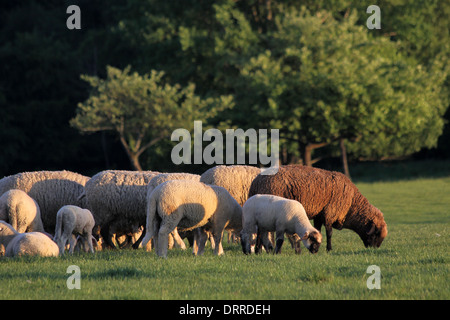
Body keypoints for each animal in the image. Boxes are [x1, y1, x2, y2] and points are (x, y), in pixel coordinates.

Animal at [248, 166, 388, 251]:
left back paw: (258, 250)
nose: (373, 249)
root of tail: (256, 182)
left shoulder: (319, 214)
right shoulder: (330, 212)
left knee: (260, 230)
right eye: (376, 233)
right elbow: (329, 233)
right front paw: (329, 249)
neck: (351, 205)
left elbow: (318, 230)